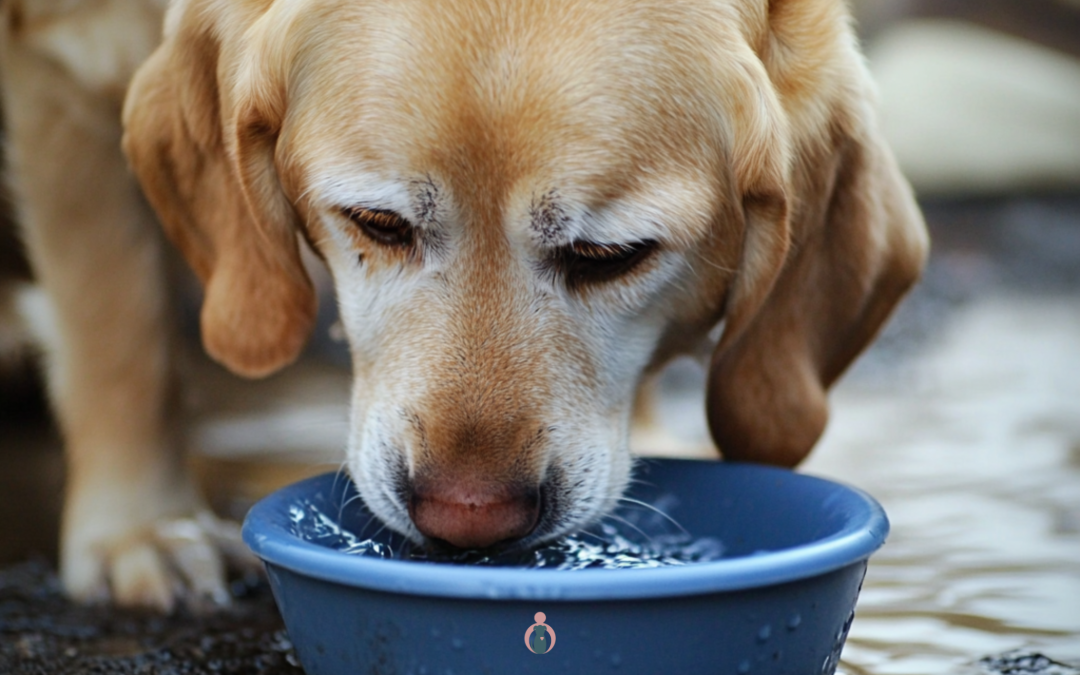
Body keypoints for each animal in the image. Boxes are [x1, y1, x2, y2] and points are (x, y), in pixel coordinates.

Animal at [0, 0, 928, 609]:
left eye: (611, 256)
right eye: (375, 222)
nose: (469, 520)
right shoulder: (59, 57)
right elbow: (120, 327)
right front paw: (142, 528)